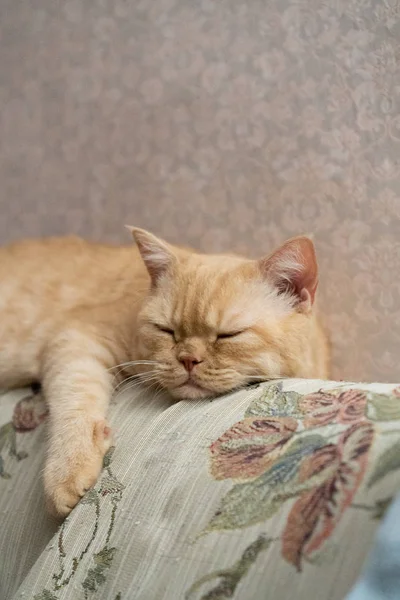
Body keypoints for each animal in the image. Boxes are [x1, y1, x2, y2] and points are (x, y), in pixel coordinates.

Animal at [0, 227, 328, 516]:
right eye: (166, 330)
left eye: (228, 335)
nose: (188, 359)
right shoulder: (76, 340)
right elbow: (74, 404)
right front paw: (69, 472)